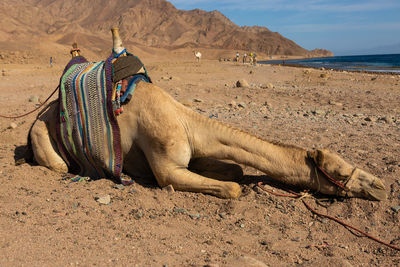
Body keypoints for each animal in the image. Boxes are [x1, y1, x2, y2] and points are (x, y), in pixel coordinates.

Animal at [27, 28, 384, 201]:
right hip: (42, 137)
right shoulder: (168, 168)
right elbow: (232, 188)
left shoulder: (197, 154)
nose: (381, 186)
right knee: (59, 164)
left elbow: (235, 171)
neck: (185, 122)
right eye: (339, 171)